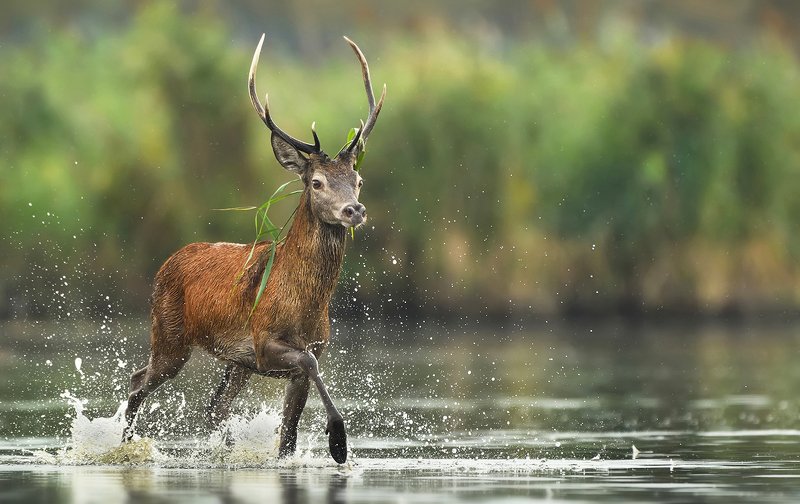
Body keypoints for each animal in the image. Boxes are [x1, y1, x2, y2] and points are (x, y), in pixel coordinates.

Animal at [123, 34, 385, 464]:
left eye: (358, 180)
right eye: (316, 182)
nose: (354, 209)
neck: (306, 304)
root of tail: (167, 262)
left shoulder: (299, 353)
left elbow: (288, 436)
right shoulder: (264, 342)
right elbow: (309, 365)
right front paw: (338, 440)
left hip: (233, 361)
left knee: (214, 405)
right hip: (169, 334)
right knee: (138, 379)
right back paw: (126, 444)